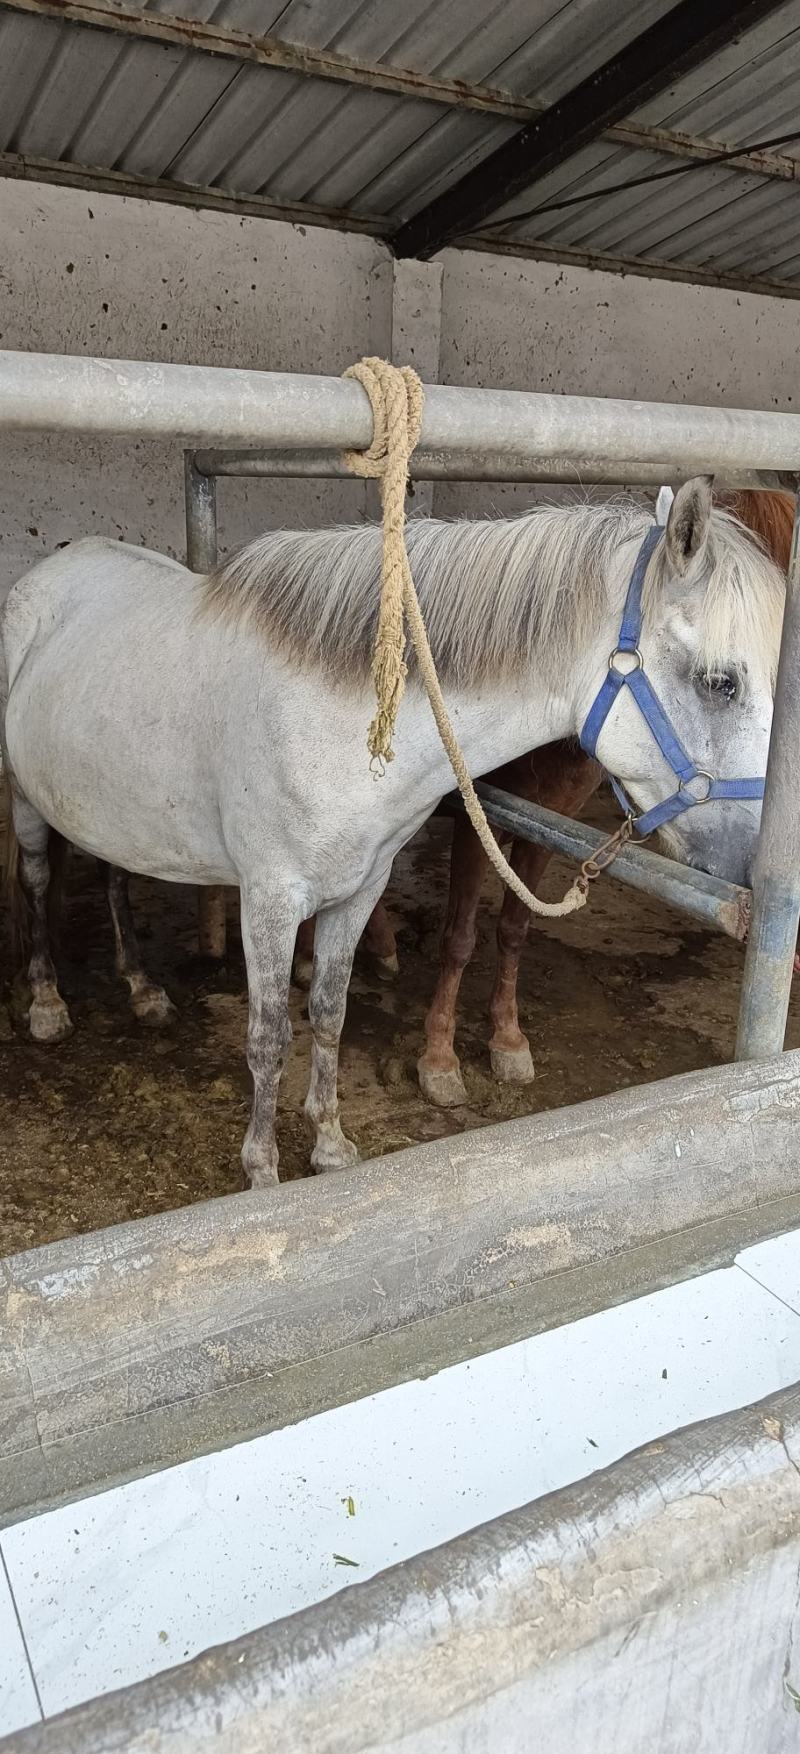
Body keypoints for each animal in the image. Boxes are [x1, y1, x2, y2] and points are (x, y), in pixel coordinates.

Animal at [1, 480, 783, 1184]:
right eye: (721, 682)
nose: (756, 865)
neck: (341, 721)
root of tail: (56, 568)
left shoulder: (358, 890)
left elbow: (329, 1014)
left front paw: (330, 1147)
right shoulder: (270, 902)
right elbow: (268, 1036)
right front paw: (262, 1171)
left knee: (113, 874)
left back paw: (142, 988)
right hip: (30, 806)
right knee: (37, 883)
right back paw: (46, 1005)